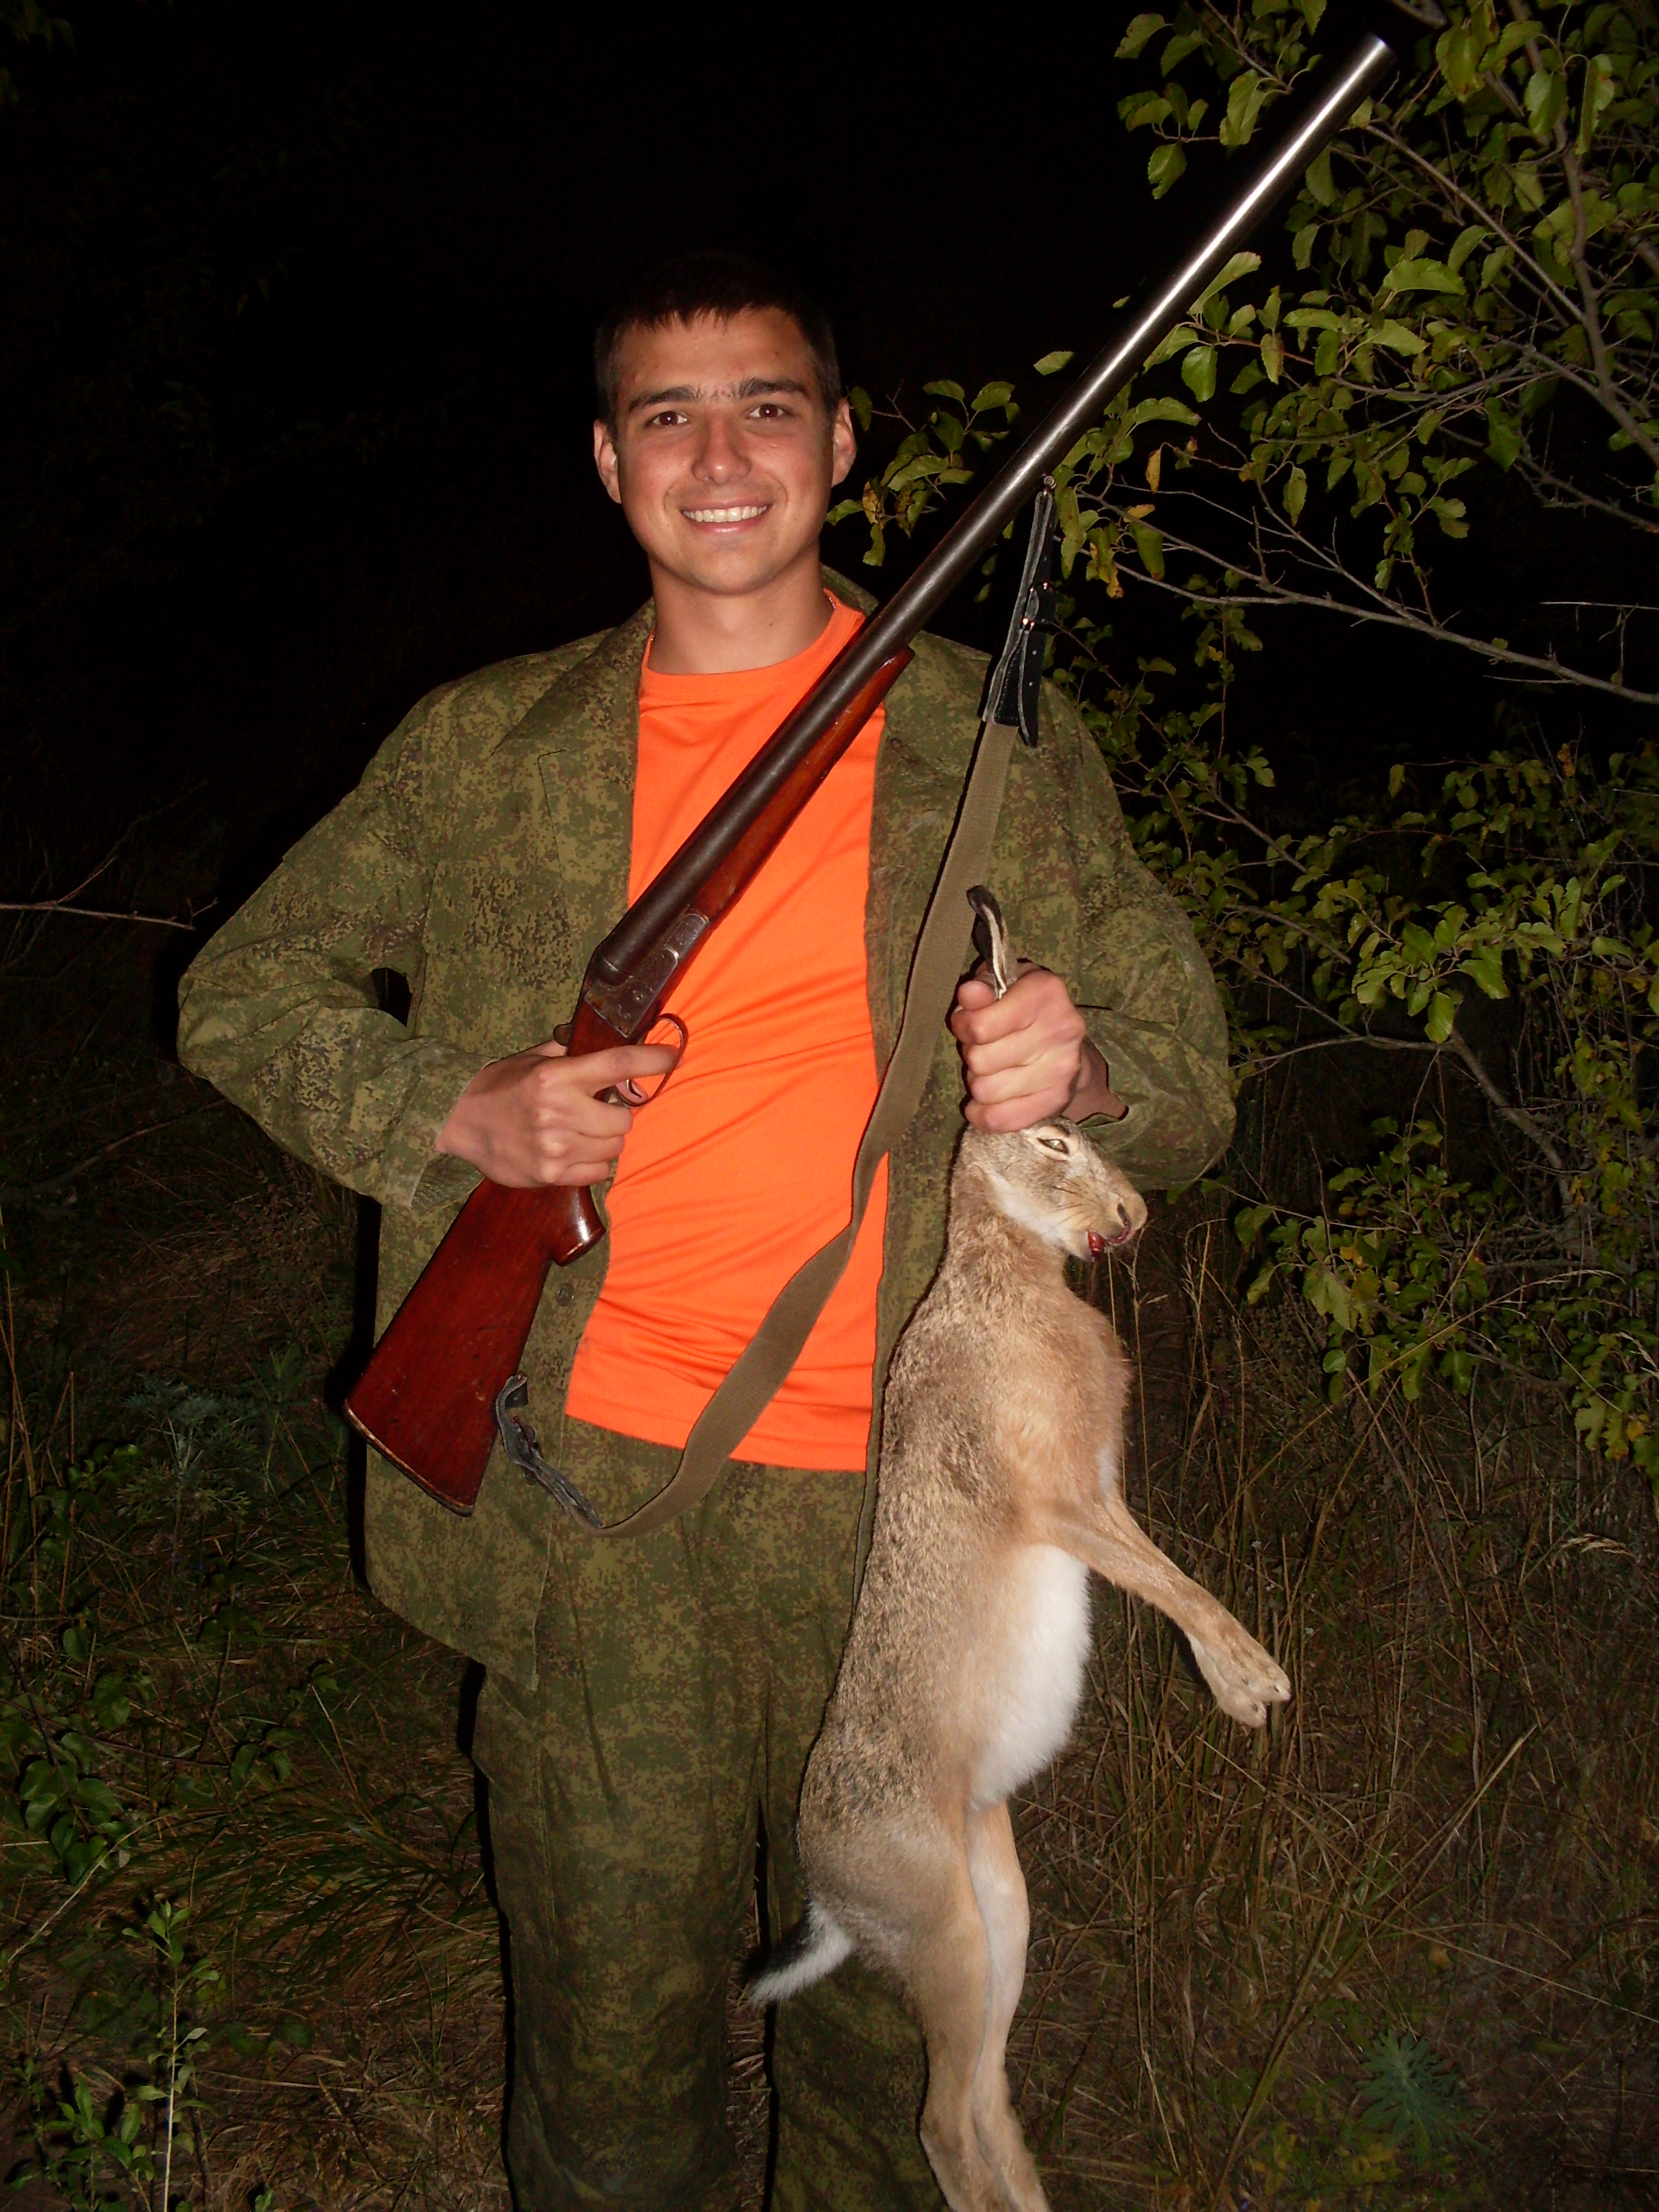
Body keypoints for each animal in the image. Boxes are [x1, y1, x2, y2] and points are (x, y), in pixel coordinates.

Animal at [748, 887, 1291, 2212]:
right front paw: (1256, 1684)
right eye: (1051, 1144)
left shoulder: (1097, 1492)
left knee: (987, 2100)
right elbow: (1167, 1582)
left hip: (1000, 1910)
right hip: (944, 1927)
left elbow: (1162, 1574)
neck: (1006, 1265)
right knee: (944, 2119)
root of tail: (829, 1893)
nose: (1131, 1217)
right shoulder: (1051, 1499)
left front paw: (1232, 1687)